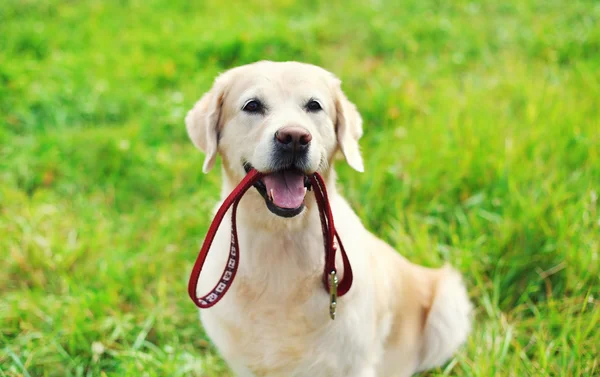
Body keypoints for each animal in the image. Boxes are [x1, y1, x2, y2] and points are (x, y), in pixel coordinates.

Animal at [185, 60, 472, 374]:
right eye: (252, 105)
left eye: (314, 105)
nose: (294, 138)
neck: (280, 239)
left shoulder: (355, 363)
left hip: (448, 304)